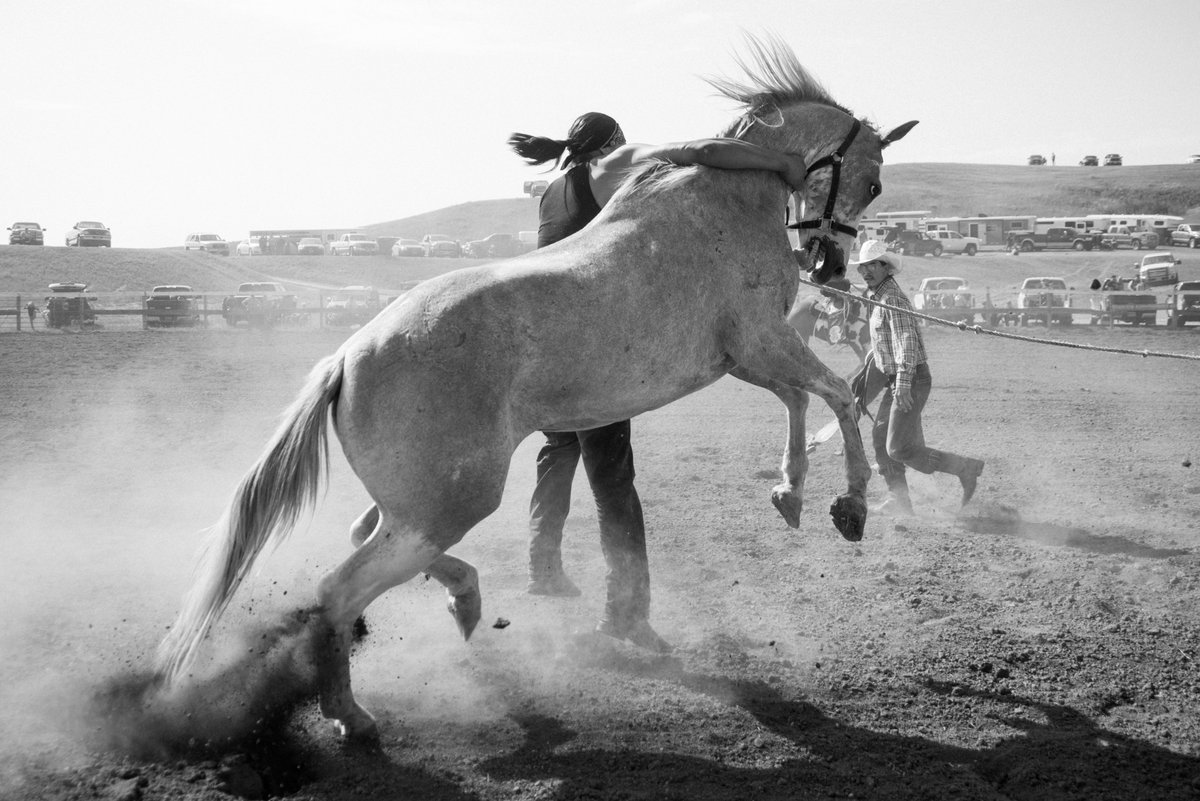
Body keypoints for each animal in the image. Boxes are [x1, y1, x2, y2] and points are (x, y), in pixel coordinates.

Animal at [154, 35, 912, 738]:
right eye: (874, 182)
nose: (830, 264)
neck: (726, 194)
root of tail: (345, 357)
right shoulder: (760, 340)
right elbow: (838, 395)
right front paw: (849, 505)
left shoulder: (746, 355)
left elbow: (800, 400)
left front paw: (790, 491)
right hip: (449, 500)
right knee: (338, 588)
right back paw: (354, 715)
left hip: (419, 501)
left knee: (361, 534)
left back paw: (463, 603)